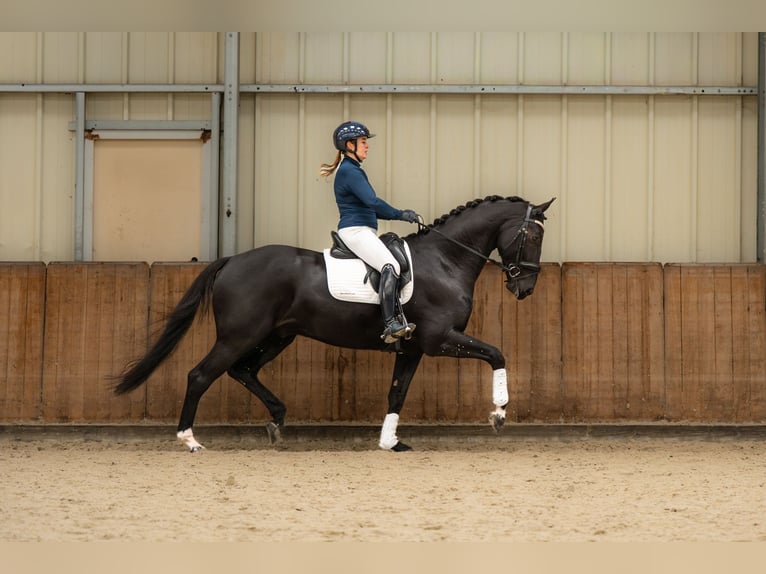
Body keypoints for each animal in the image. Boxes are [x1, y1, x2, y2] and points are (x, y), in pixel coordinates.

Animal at [114, 195, 555, 452]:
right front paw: (499, 413)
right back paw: (189, 440)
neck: (445, 260)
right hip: (241, 335)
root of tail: (233, 261)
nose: (526, 287)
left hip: (276, 336)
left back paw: (277, 420)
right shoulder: (439, 339)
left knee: (243, 371)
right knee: (201, 375)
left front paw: (390, 442)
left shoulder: (413, 347)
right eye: (532, 236)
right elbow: (496, 353)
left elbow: (397, 393)